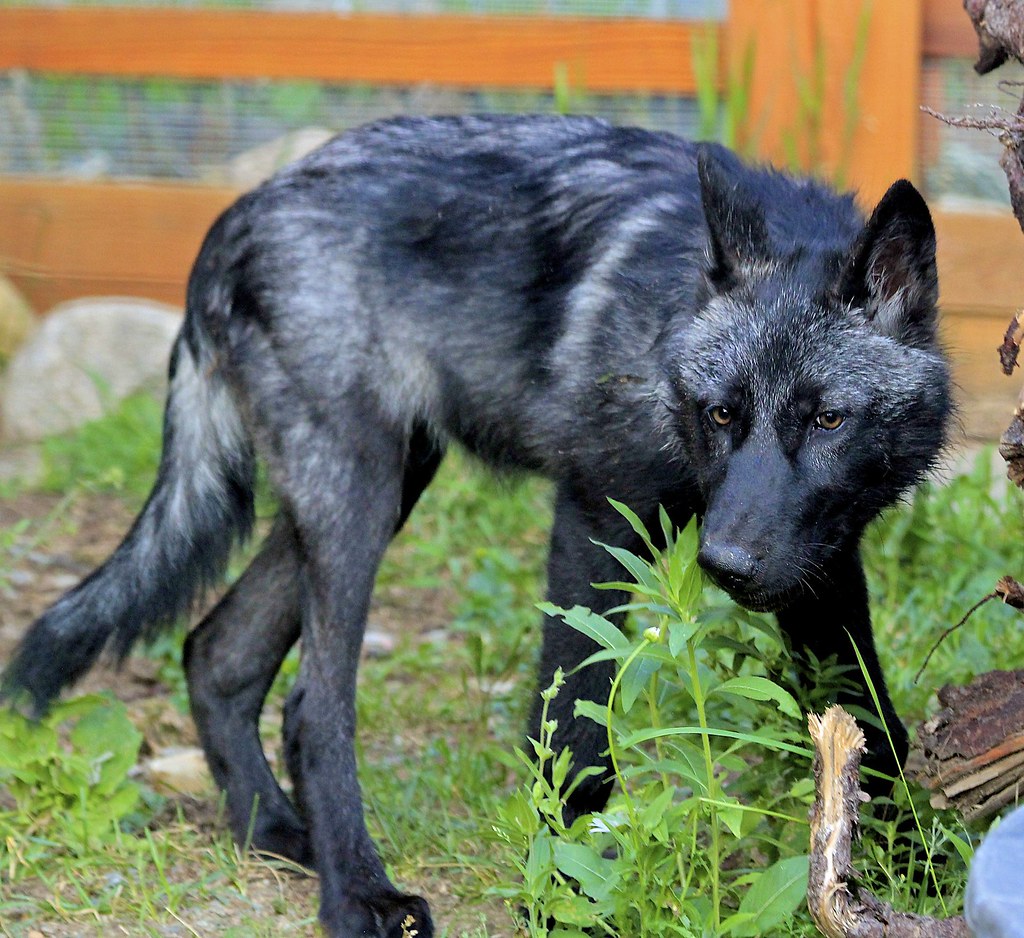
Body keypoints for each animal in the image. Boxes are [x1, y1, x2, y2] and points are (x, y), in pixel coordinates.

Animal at [3, 115, 951, 937]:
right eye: (722, 414)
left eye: (827, 421)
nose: (726, 564)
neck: (666, 323)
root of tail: (236, 213)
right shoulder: (594, 516)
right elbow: (572, 731)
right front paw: (562, 897)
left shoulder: (822, 567)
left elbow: (873, 727)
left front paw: (913, 873)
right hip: (357, 496)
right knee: (312, 705)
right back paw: (359, 897)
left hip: (382, 484)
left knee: (215, 652)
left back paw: (275, 835)